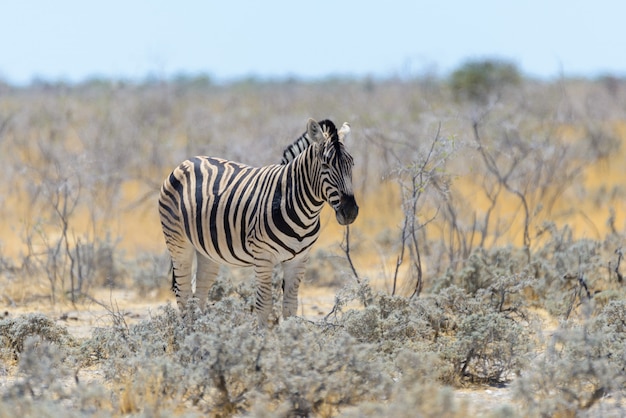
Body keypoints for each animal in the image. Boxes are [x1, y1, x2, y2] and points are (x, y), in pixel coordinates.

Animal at [158, 117, 358, 326]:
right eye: (325, 165)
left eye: (351, 164)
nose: (350, 211)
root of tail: (188, 160)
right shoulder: (263, 257)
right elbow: (264, 306)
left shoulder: (299, 259)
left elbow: (290, 306)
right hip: (178, 242)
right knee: (183, 295)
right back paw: (187, 334)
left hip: (207, 251)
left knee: (199, 295)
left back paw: (200, 332)